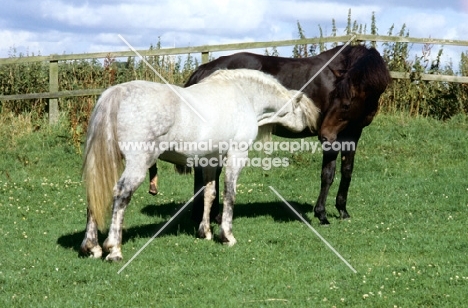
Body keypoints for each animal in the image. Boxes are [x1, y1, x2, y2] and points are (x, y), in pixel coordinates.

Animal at [151, 44, 392, 225]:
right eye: (331, 97)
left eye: (346, 104)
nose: (323, 133)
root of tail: (204, 70)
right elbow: (328, 174)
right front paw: (322, 214)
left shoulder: (353, 134)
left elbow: (347, 172)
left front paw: (342, 210)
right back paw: (214, 216)